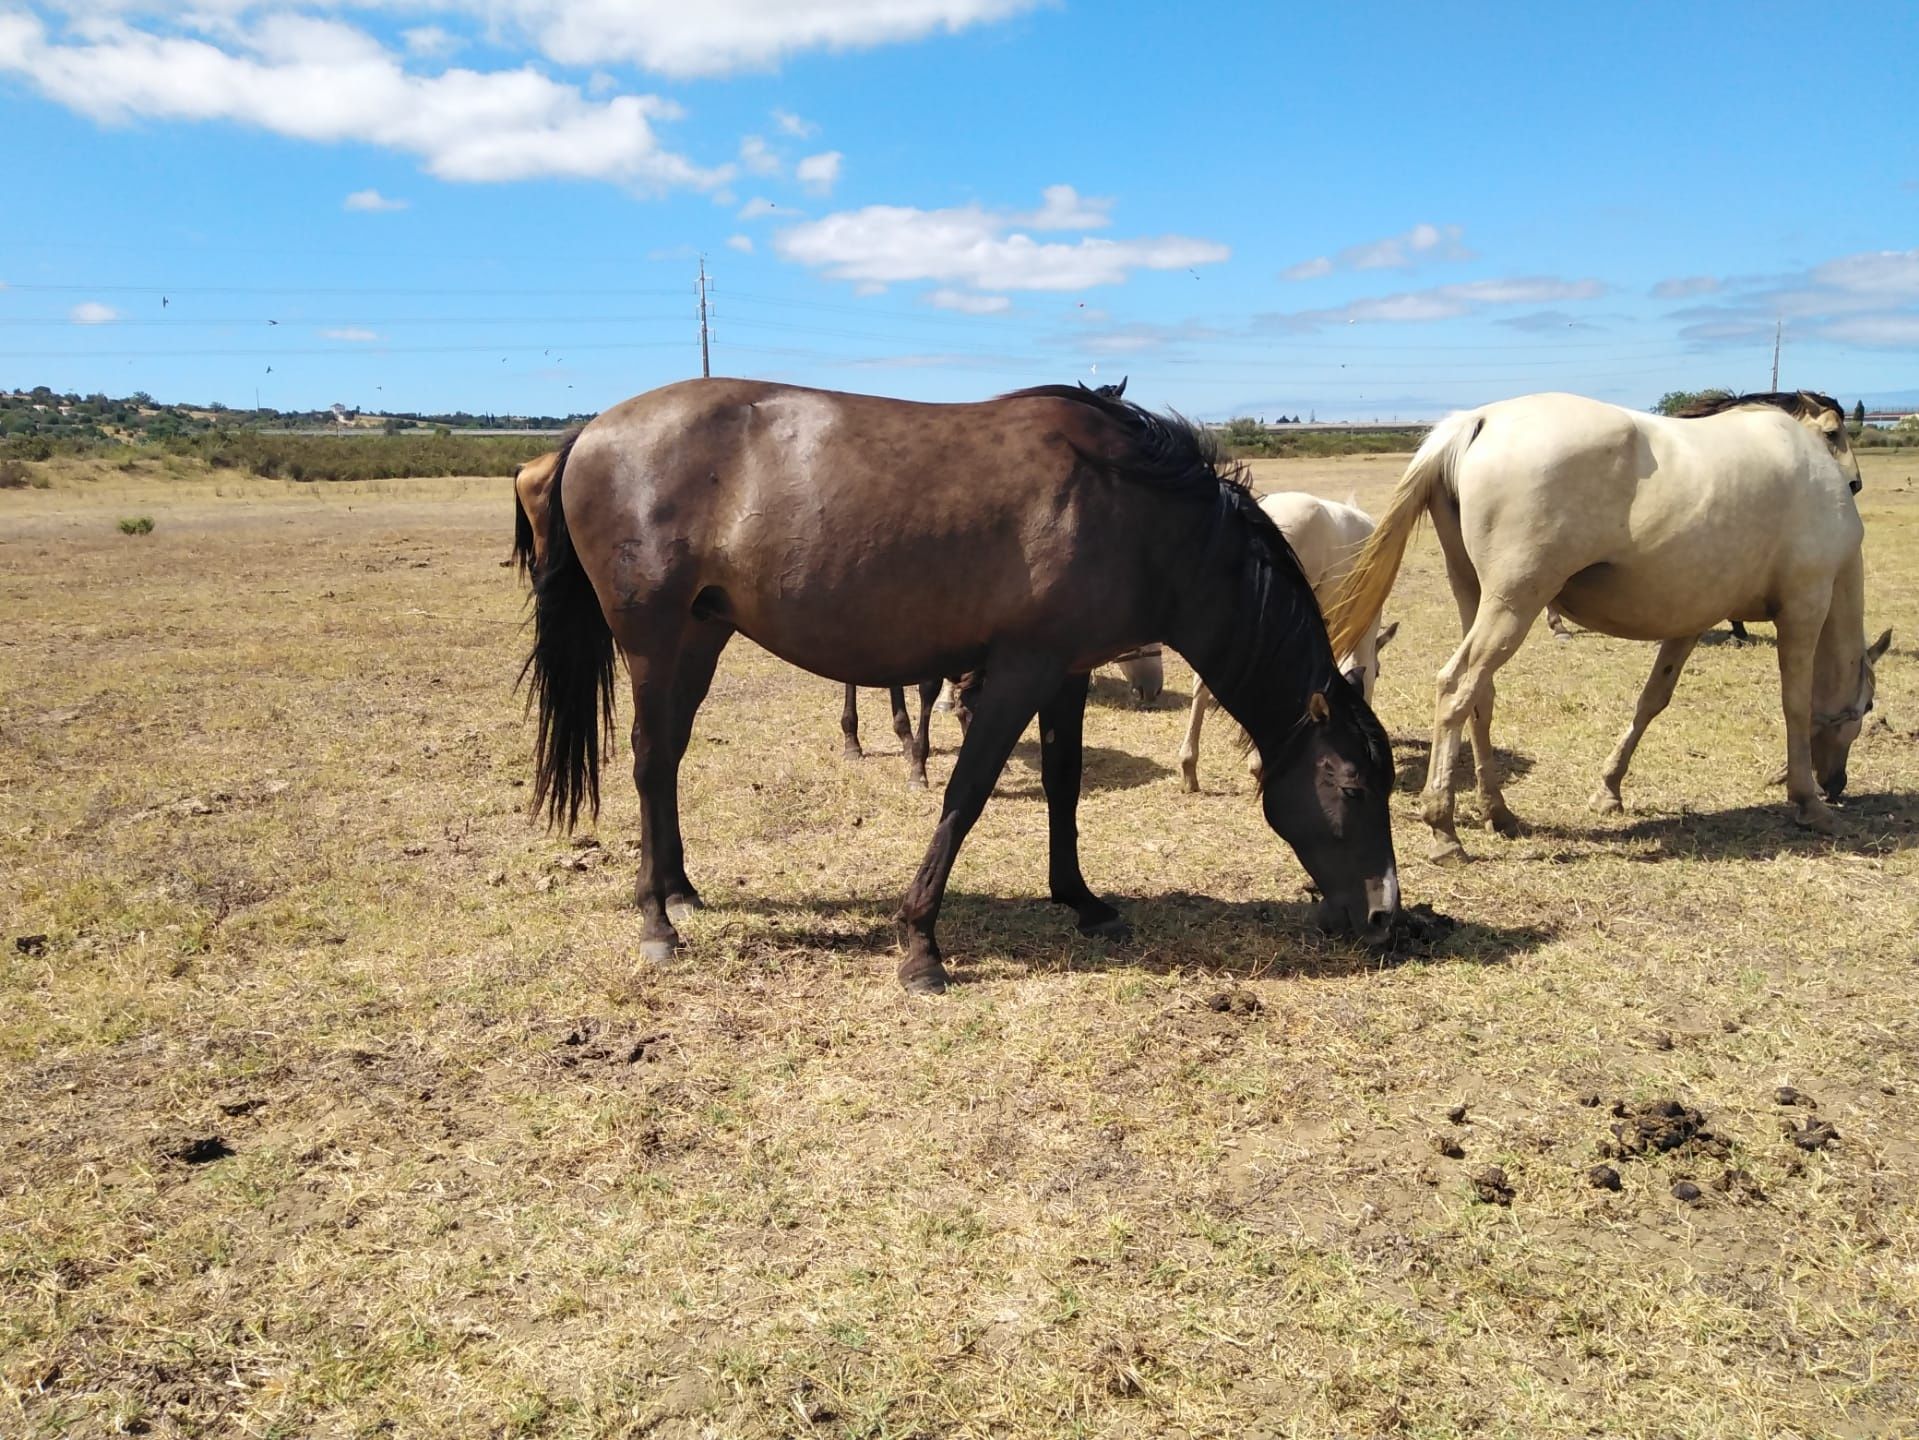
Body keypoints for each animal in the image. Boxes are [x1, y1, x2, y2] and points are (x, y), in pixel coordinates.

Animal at [525, 380, 1397, 990]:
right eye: (1353, 788)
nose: (1384, 916)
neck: (1132, 507)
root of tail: (593, 429)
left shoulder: (1066, 671)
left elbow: (1063, 782)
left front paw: (1079, 899)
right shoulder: (1018, 669)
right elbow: (966, 793)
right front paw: (919, 944)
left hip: (700, 635)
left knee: (669, 758)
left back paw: (680, 890)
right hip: (652, 639)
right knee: (647, 762)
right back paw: (656, 923)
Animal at [1320, 389, 1888, 864]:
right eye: (1867, 709)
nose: (1837, 783)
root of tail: (1477, 421)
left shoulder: (1688, 621)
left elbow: (1651, 701)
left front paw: (1609, 790)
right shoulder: (1803, 609)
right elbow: (1795, 705)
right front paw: (1809, 802)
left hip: (1476, 598)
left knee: (1480, 695)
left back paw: (1497, 812)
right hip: (1513, 604)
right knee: (1456, 687)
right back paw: (1444, 830)